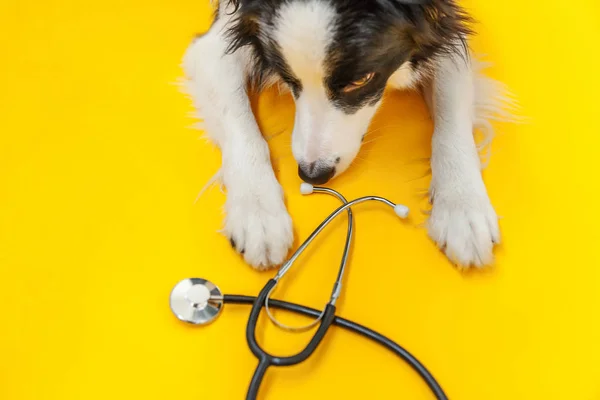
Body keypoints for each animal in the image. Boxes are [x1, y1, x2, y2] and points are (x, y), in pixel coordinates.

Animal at [183, 0, 510, 270]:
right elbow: (241, 125)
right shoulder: (216, 45)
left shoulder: (446, 30)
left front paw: (462, 206)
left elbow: (451, 123)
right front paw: (257, 211)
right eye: (286, 76)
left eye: (360, 80)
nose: (312, 174)